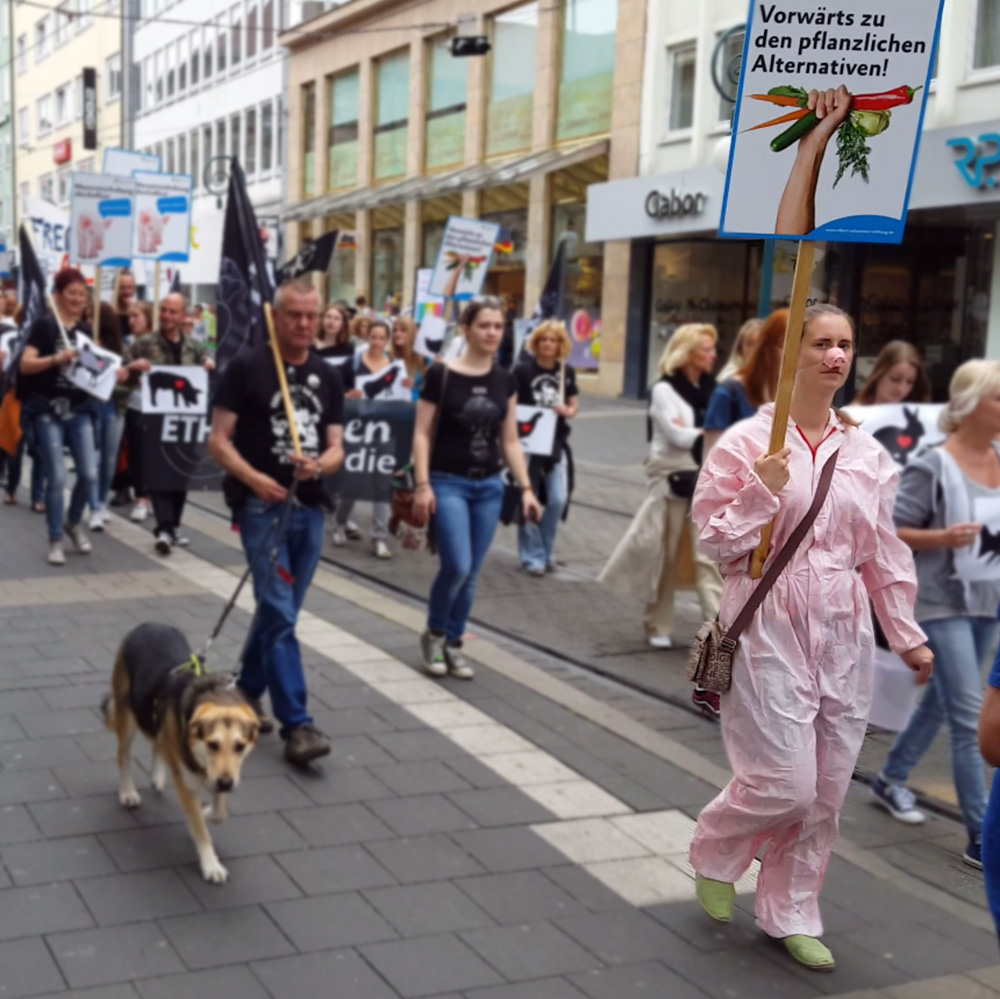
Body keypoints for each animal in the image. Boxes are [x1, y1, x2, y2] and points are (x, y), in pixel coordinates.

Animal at [100, 624, 258, 884]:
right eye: (212, 744)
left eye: (240, 746)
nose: (226, 784)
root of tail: (148, 625)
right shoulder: (187, 784)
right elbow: (202, 830)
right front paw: (211, 864)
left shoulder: (217, 776)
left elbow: (219, 814)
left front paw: (205, 812)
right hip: (128, 713)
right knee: (123, 755)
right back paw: (128, 793)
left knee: (158, 740)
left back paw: (157, 774)